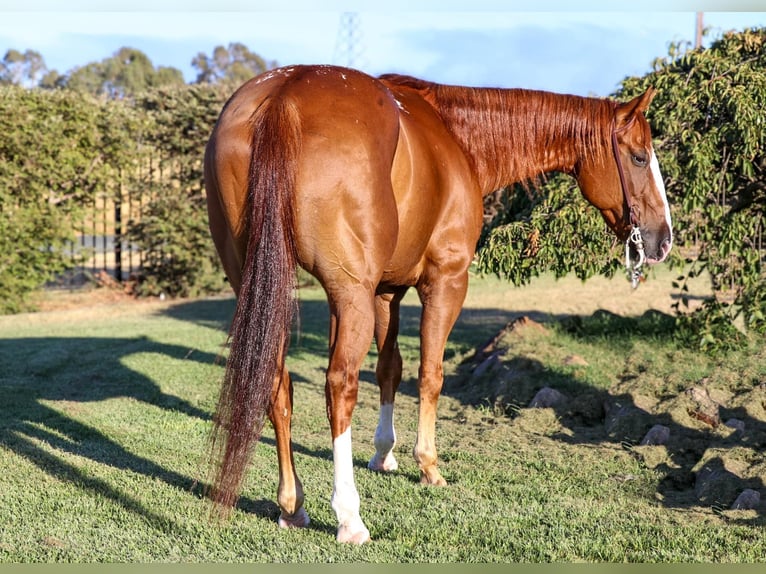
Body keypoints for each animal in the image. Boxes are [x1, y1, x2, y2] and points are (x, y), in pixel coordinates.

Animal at [202, 65, 672, 548]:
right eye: (639, 157)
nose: (663, 238)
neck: (457, 138)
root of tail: (286, 94)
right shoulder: (445, 282)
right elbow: (430, 373)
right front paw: (427, 464)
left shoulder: (385, 291)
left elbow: (390, 367)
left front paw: (384, 454)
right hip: (347, 291)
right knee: (340, 387)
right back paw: (349, 515)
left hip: (263, 285)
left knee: (278, 384)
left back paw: (292, 505)